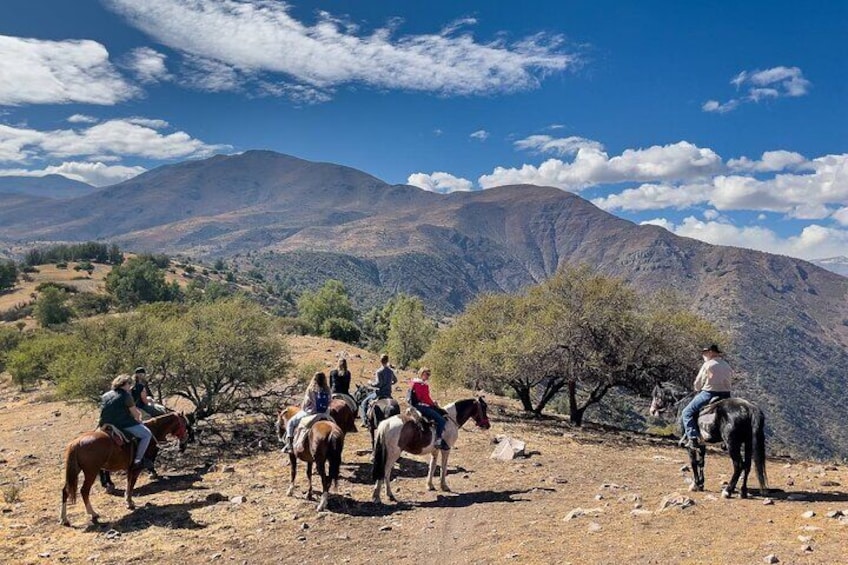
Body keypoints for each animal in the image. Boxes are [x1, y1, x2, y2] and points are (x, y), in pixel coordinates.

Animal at [60, 410, 190, 524]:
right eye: (184, 423)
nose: (184, 442)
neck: (153, 431)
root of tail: (76, 443)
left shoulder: (130, 468)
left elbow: (128, 483)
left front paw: (127, 500)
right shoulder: (136, 468)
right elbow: (132, 484)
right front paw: (129, 502)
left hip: (76, 471)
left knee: (65, 491)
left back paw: (64, 519)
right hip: (91, 472)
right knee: (84, 491)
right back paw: (93, 513)